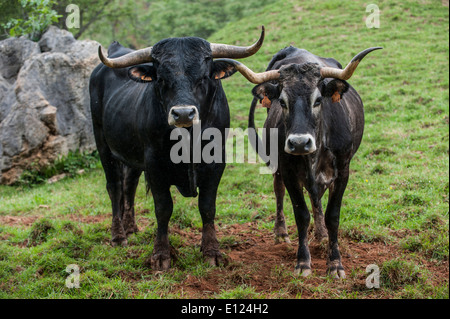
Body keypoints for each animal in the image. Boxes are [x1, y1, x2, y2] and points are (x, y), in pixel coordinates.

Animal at [89, 28, 264, 272]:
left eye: (203, 77)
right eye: (162, 79)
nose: (182, 114)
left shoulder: (215, 163)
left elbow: (207, 207)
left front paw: (212, 251)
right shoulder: (155, 165)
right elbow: (163, 209)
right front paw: (161, 255)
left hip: (132, 154)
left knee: (129, 184)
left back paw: (131, 227)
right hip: (103, 144)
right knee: (114, 187)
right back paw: (118, 235)